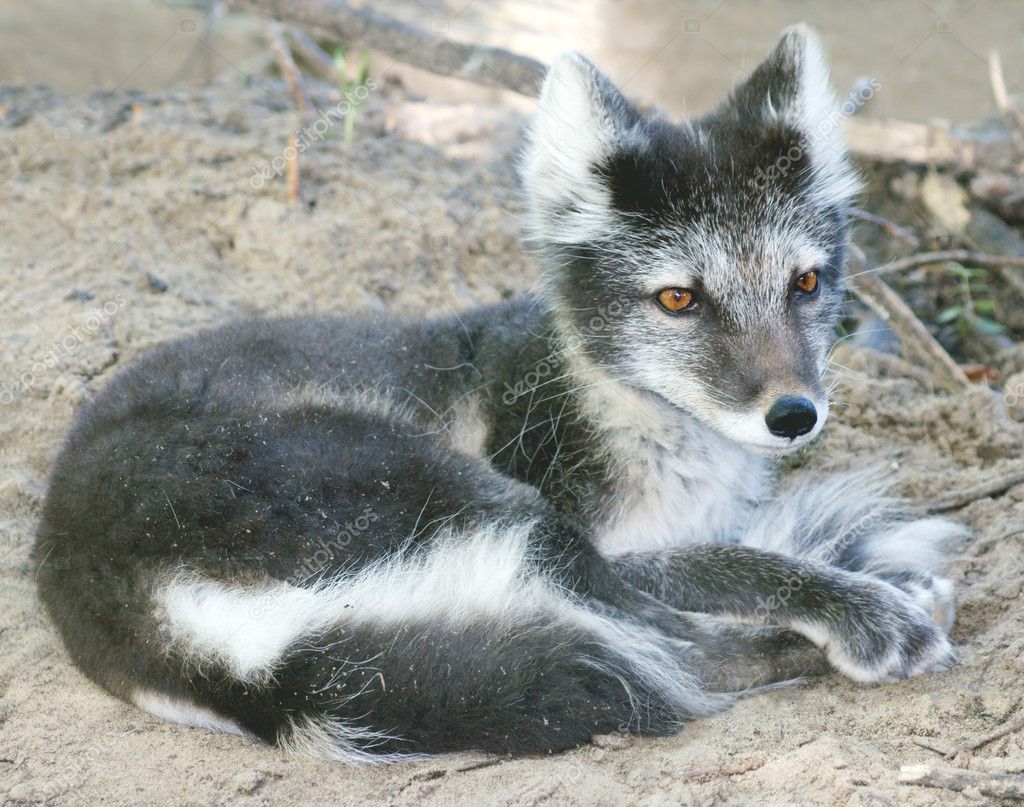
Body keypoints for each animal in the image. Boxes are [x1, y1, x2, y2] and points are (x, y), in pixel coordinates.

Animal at [32, 23, 958, 757]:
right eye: (677, 299)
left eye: (806, 283)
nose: (794, 417)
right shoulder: (601, 533)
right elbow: (731, 560)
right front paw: (860, 602)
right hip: (496, 506)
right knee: (675, 652)